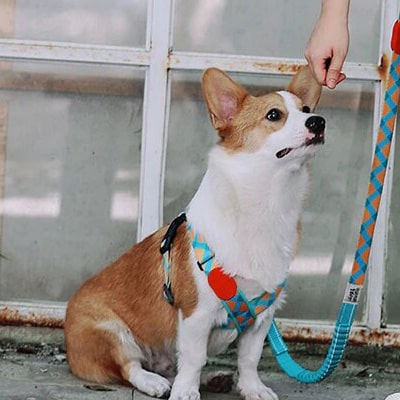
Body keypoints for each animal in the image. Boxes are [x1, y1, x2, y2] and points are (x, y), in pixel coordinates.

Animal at [65, 66, 324, 400]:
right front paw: (185, 392)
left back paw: (211, 378)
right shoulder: (195, 315)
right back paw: (154, 382)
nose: (318, 121)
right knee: (129, 366)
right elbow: (193, 358)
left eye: (306, 109)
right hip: (110, 332)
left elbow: (249, 358)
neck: (267, 202)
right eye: (274, 115)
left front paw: (252, 388)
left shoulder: (261, 319)